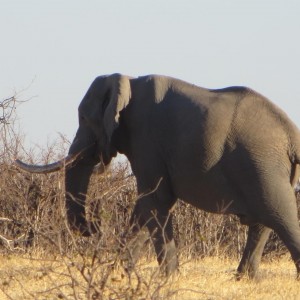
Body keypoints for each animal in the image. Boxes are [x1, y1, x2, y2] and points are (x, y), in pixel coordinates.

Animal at [15, 73, 300, 278]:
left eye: (84, 118)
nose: (94, 228)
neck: (127, 81)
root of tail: (292, 134)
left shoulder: (146, 138)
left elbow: (155, 200)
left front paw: (167, 278)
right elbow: (146, 206)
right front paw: (120, 273)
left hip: (262, 164)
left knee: (280, 216)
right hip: (267, 167)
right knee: (263, 222)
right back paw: (244, 280)